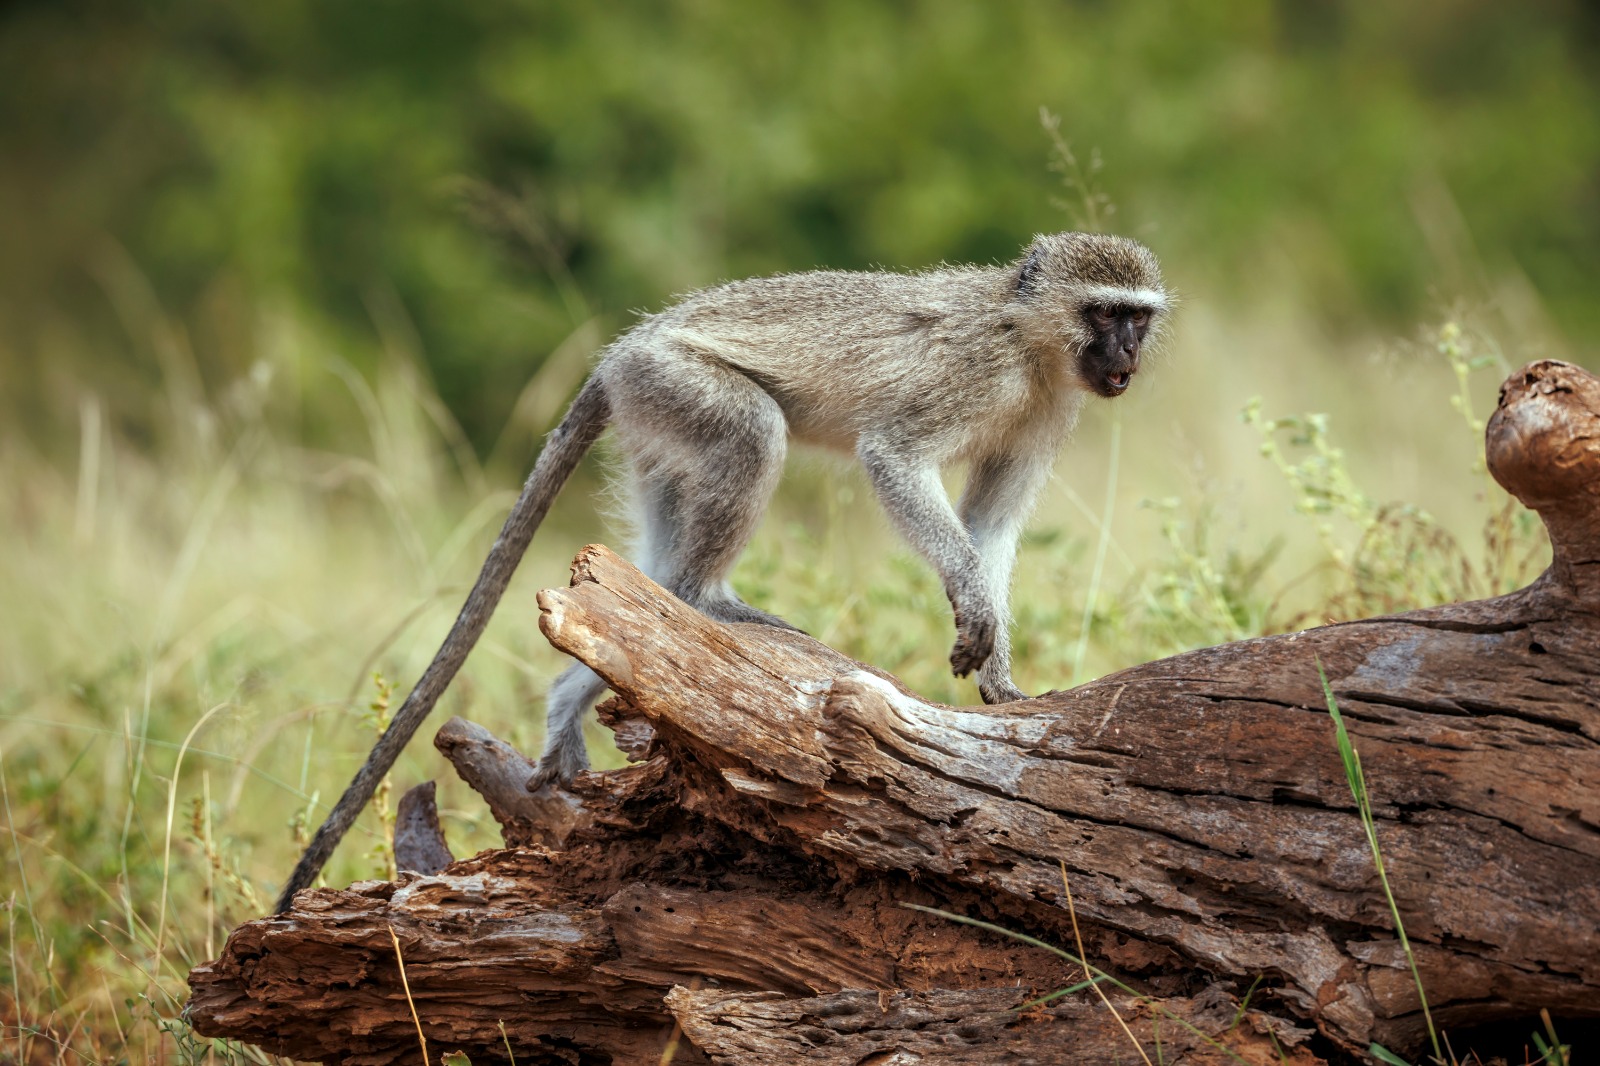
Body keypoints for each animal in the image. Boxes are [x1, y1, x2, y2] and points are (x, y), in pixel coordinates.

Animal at [274, 231, 1170, 912]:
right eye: (1102, 311)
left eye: (1136, 317)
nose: (1126, 355)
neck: (1033, 343)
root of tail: (623, 350)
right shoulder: (974, 376)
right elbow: (895, 456)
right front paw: (974, 615)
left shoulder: (1051, 407)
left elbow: (993, 529)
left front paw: (1000, 678)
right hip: (677, 385)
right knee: (750, 434)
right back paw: (709, 603)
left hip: (651, 421)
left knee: (652, 581)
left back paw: (581, 693)